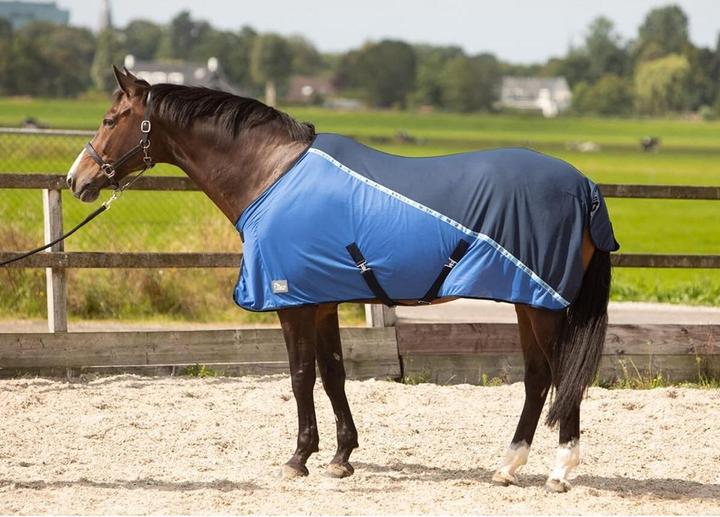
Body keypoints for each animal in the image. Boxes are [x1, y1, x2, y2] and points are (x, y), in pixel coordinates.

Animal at [66, 66, 618, 492]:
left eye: (110, 119)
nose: (77, 180)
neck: (272, 175)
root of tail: (585, 187)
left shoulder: (293, 302)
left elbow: (300, 376)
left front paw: (298, 459)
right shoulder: (323, 299)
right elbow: (333, 373)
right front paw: (340, 458)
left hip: (545, 304)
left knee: (560, 376)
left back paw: (559, 472)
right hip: (528, 301)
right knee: (538, 378)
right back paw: (508, 467)